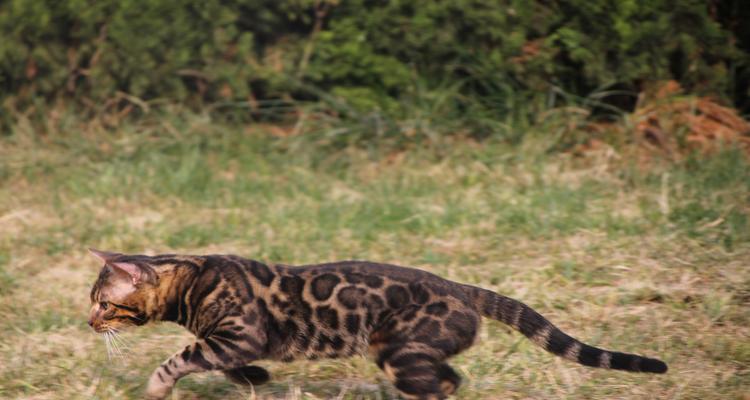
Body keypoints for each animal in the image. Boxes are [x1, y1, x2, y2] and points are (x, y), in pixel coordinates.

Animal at [88, 248, 668, 398]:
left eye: (104, 304)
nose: (88, 322)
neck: (191, 278)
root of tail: (462, 289)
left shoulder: (237, 334)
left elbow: (182, 357)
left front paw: (155, 387)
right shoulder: (234, 343)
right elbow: (227, 365)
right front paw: (257, 380)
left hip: (396, 347)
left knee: (439, 386)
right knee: (452, 380)